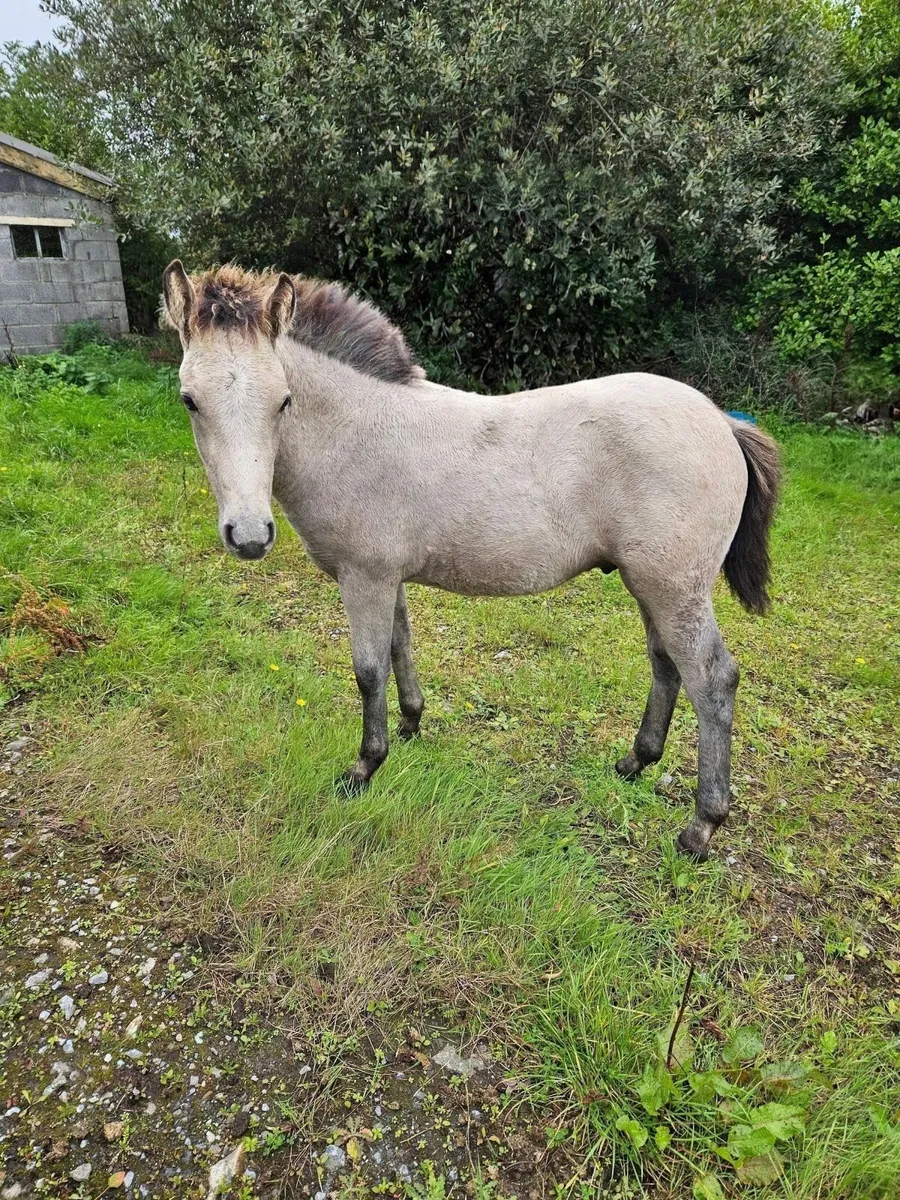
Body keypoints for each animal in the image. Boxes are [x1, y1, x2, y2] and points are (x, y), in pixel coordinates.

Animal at [161, 260, 780, 860]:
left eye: (283, 399)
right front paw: (411, 724)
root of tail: (723, 421)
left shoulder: (363, 577)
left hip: (674, 589)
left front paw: (364, 767)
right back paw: (635, 763)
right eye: (189, 400)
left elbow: (368, 670)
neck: (356, 431)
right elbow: (399, 645)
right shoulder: (387, 576)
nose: (249, 535)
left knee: (712, 681)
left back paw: (701, 827)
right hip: (650, 585)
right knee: (666, 664)